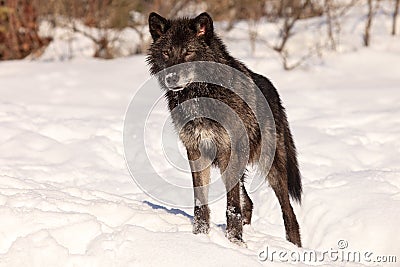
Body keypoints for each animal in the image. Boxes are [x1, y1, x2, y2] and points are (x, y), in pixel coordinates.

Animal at [146, 12, 300, 247]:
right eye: (166, 53)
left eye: (189, 52)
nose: (171, 78)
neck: (200, 97)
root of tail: (273, 90)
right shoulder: (196, 151)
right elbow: (200, 202)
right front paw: (200, 236)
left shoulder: (230, 151)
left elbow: (232, 206)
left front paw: (235, 242)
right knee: (250, 203)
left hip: (271, 166)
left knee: (289, 213)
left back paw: (294, 247)